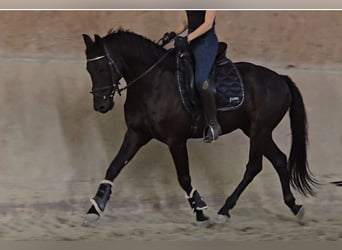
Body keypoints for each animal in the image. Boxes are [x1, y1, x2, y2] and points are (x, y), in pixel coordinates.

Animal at [81, 29, 316, 225]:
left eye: (101, 67)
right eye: (88, 68)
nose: (101, 106)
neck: (152, 82)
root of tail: (281, 79)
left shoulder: (175, 140)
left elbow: (184, 177)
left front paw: (201, 210)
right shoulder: (136, 134)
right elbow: (114, 167)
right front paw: (95, 209)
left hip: (260, 130)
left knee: (254, 166)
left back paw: (225, 209)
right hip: (257, 131)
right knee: (278, 160)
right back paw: (293, 206)